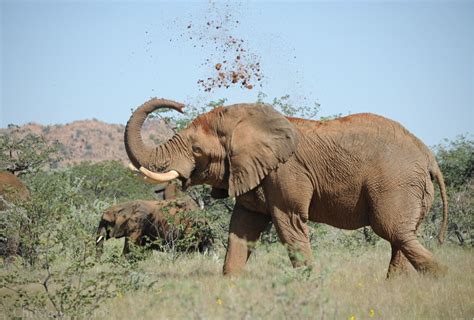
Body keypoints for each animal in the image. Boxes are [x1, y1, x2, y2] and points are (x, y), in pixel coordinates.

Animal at [123, 98, 448, 278]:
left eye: (197, 150)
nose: (179, 105)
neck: (248, 122)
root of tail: (429, 157)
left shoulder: (285, 173)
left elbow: (288, 223)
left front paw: (309, 285)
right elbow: (242, 227)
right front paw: (230, 286)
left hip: (396, 183)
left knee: (393, 231)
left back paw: (443, 279)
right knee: (401, 236)